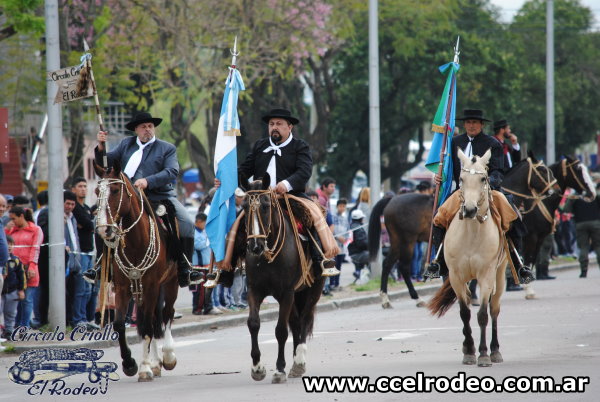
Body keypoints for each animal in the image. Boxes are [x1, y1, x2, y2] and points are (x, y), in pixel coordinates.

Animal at [94, 162, 178, 382]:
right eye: (97, 192)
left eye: (115, 190)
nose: (104, 229)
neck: (135, 241)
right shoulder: (123, 287)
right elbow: (119, 324)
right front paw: (130, 363)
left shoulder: (151, 286)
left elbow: (148, 326)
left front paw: (145, 368)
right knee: (155, 319)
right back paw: (156, 363)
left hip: (170, 282)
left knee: (167, 314)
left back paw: (168, 356)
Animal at [240, 174, 326, 384]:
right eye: (244, 206)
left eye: (265, 206)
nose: (255, 246)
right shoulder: (254, 290)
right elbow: (253, 323)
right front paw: (257, 368)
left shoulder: (286, 293)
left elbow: (280, 330)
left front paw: (279, 369)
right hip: (296, 295)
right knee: (295, 322)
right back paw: (295, 361)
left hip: (313, 290)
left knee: (304, 320)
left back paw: (300, 360)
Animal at [428, 150, 508, 368]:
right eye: (462, 179)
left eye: (483, 179)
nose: (470, 210)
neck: (472, 233)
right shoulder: (456, 276)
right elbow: (465, 312)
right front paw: (470, 351)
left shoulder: (486, 275)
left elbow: (482, 315)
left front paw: (483, 354)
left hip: (500, 274)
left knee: (494, 309)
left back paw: (495, 350)